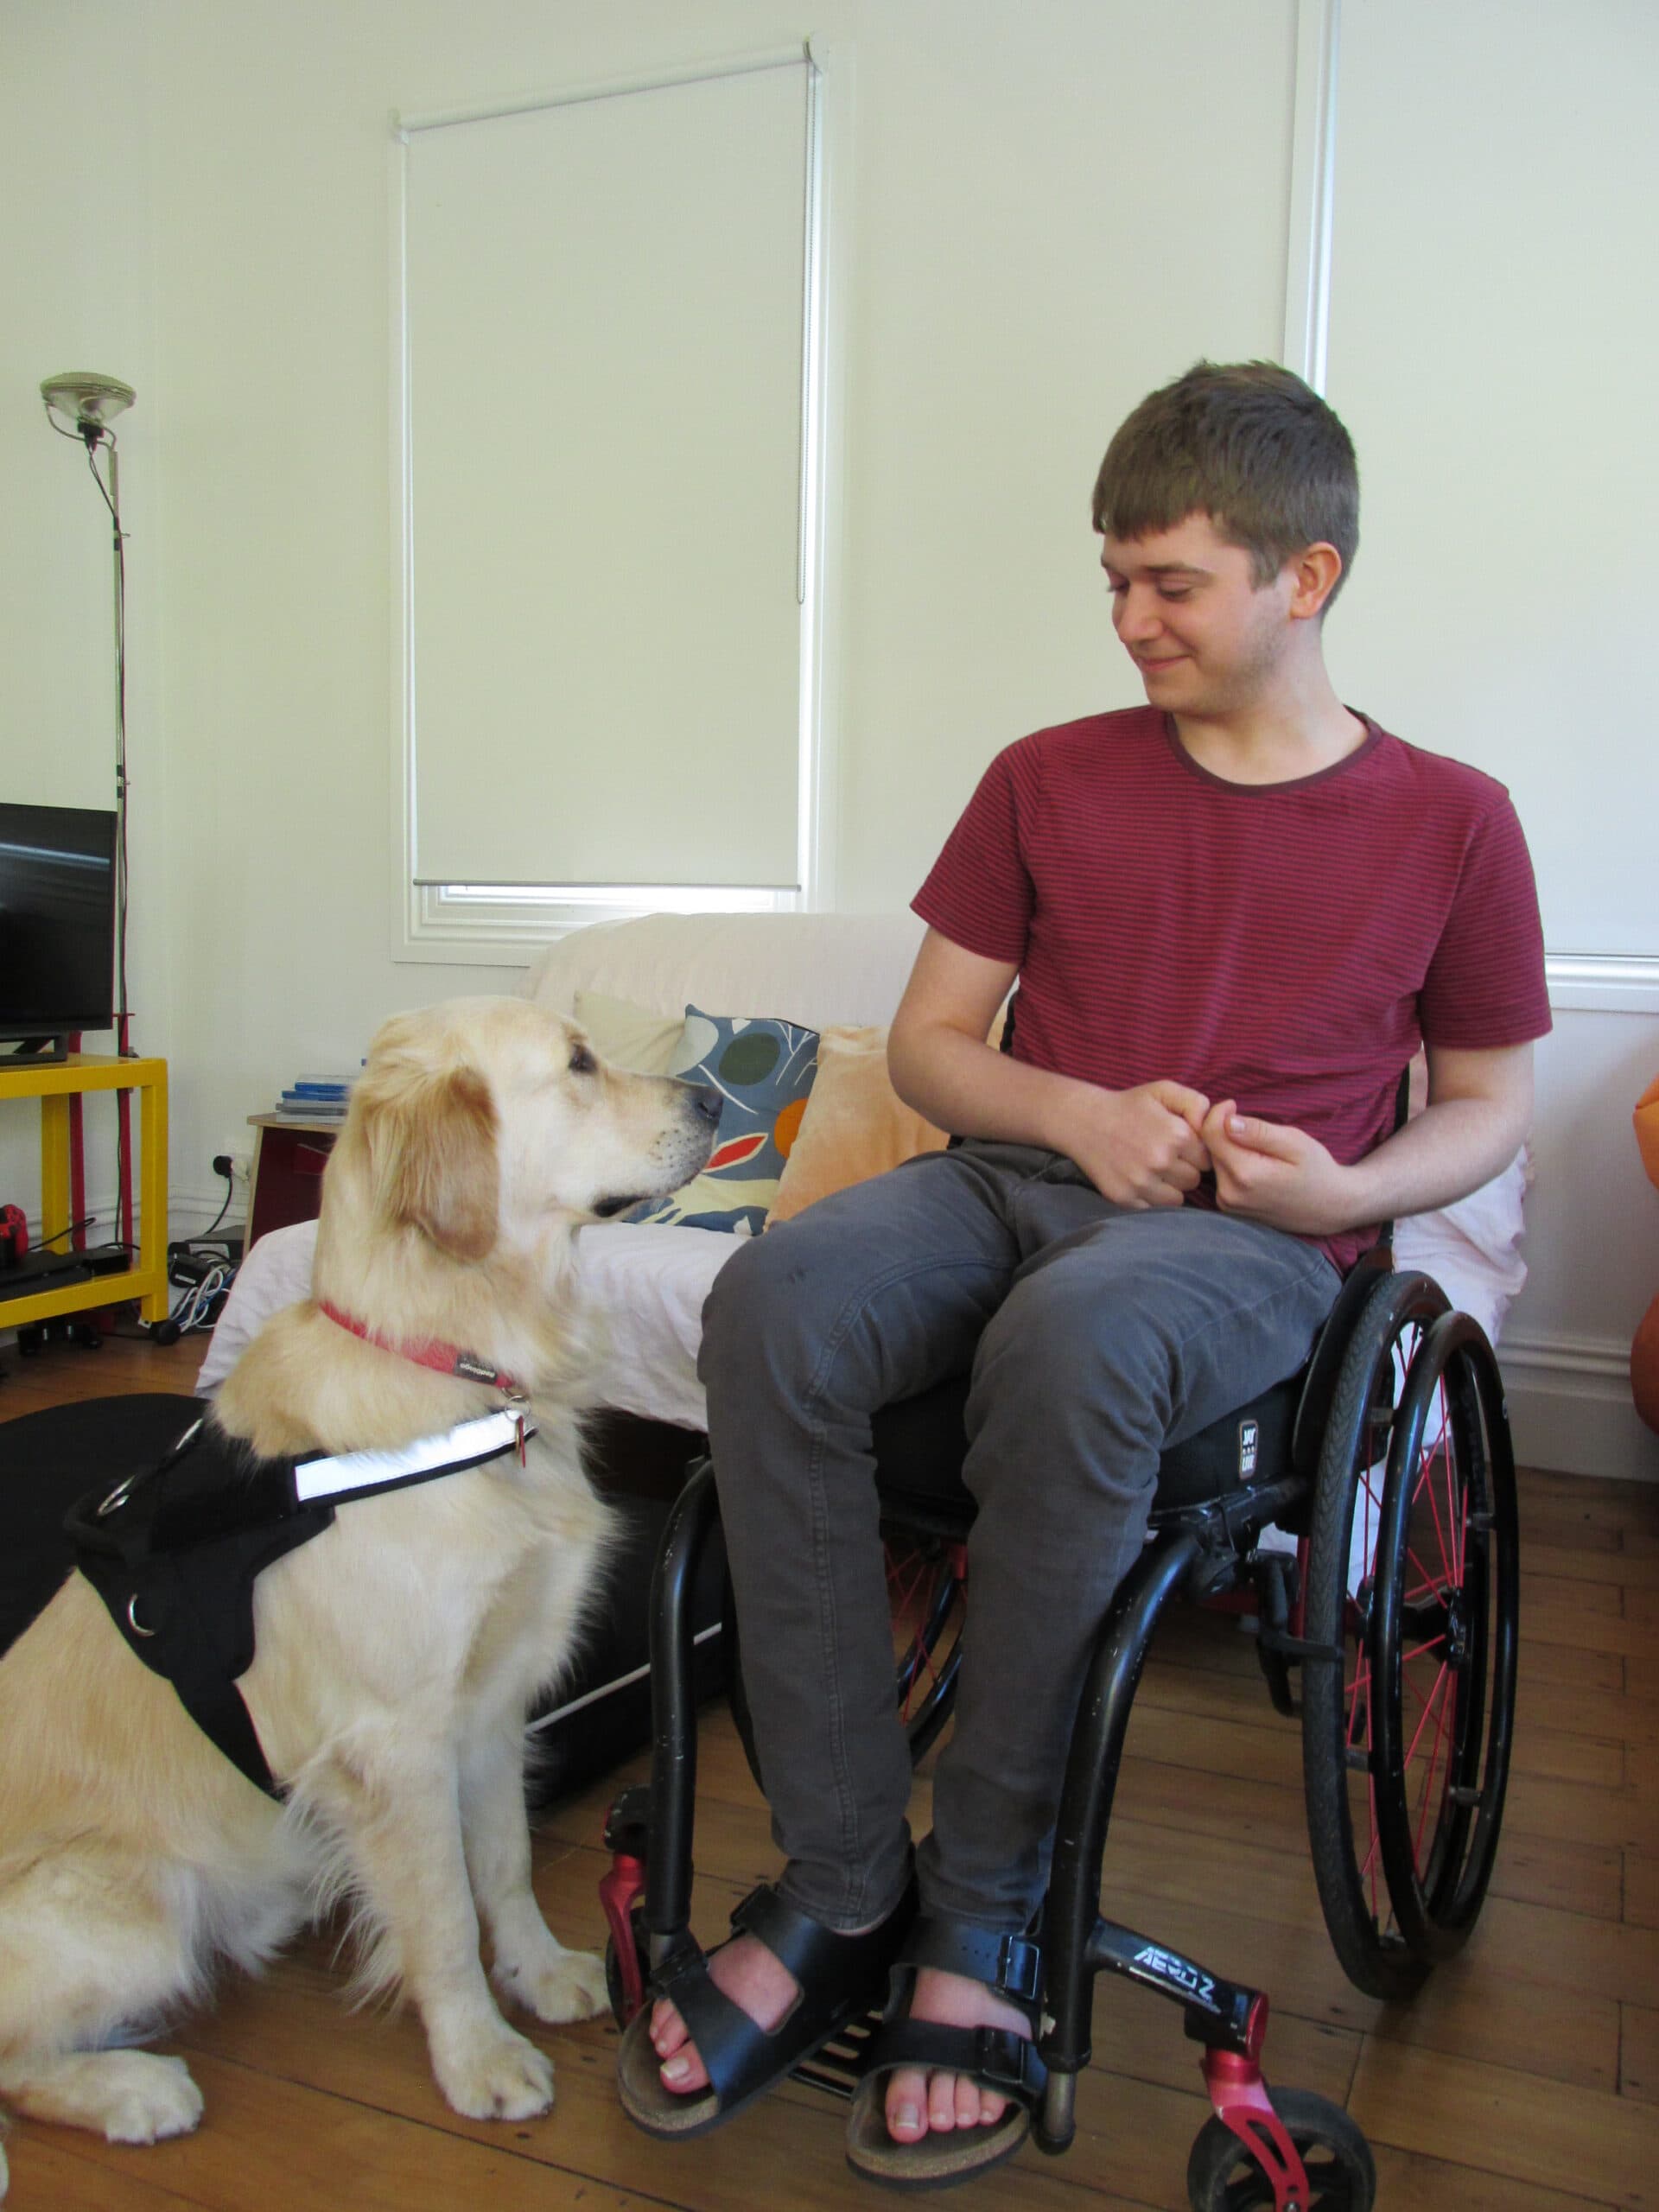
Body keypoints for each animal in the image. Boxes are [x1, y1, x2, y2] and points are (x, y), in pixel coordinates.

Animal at [0, 990, 721, 2194]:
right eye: (578, 1063)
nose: (713, 1099)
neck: (454, 1362)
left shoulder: (490, 1703)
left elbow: (505, 1864)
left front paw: (540, 1972)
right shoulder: (397, 1739)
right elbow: (441, 1914)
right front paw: (479, 2056)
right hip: (136, 1910)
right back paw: (137, 2089)